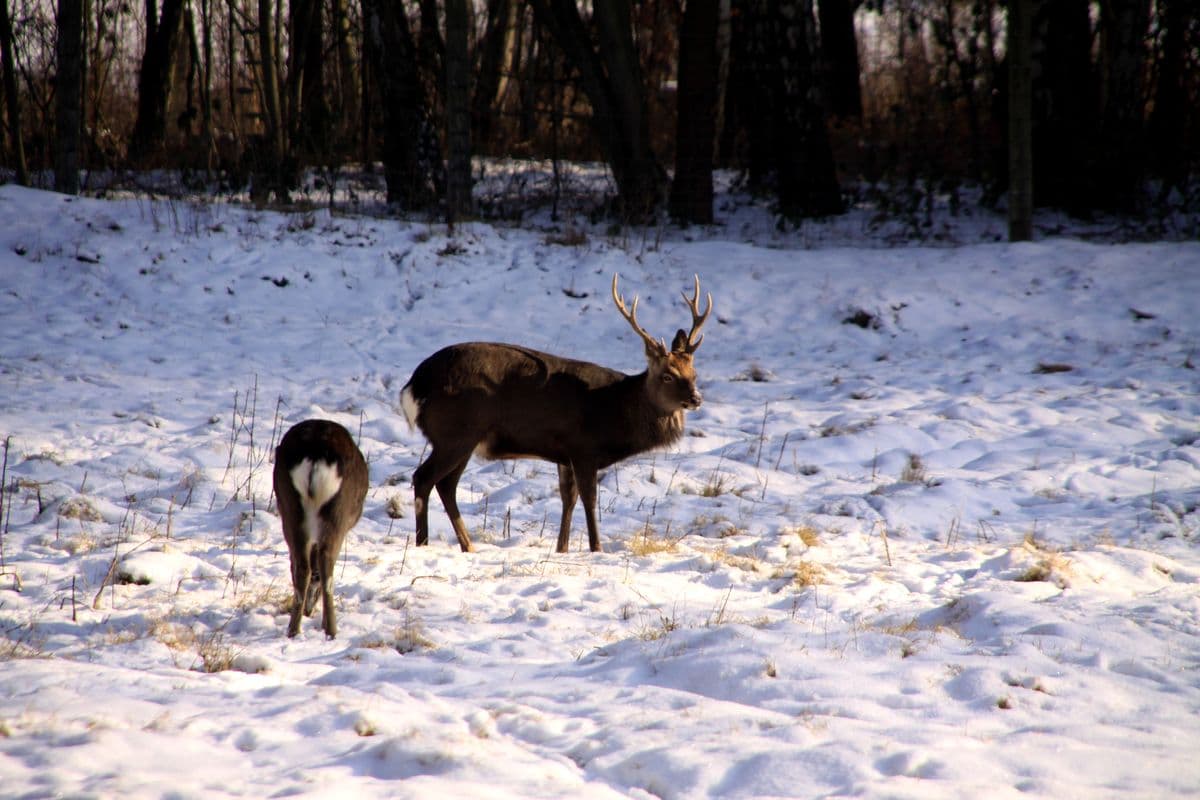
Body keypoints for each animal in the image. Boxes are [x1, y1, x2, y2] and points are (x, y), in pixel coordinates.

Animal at [400, 272, 710, 554]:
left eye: (693, 373)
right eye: (668, 376)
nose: (696, 399)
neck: (614, 409)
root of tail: (413, 386)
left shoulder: (564, 454)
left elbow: (567, 499)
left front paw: (562, 549)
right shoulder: (584, 446)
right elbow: (589, 499)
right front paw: (596, 548)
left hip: (464, 438)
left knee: (446, 485)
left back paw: (467, 546)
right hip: (456, 431)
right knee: (424, 478)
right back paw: (423, 543)